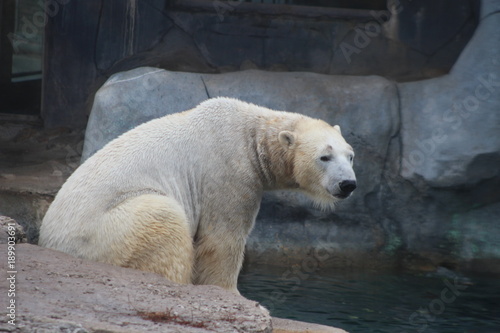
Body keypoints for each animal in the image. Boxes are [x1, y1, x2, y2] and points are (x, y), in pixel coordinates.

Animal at [39, 97, 356, 292]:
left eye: (350, 155)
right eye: (324, 157)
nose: (347, 184)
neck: (251, 133)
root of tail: (50, 241)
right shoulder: (229, 171)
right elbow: (222, 239)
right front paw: (231, 293)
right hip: (105, 231)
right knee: (162, 218)